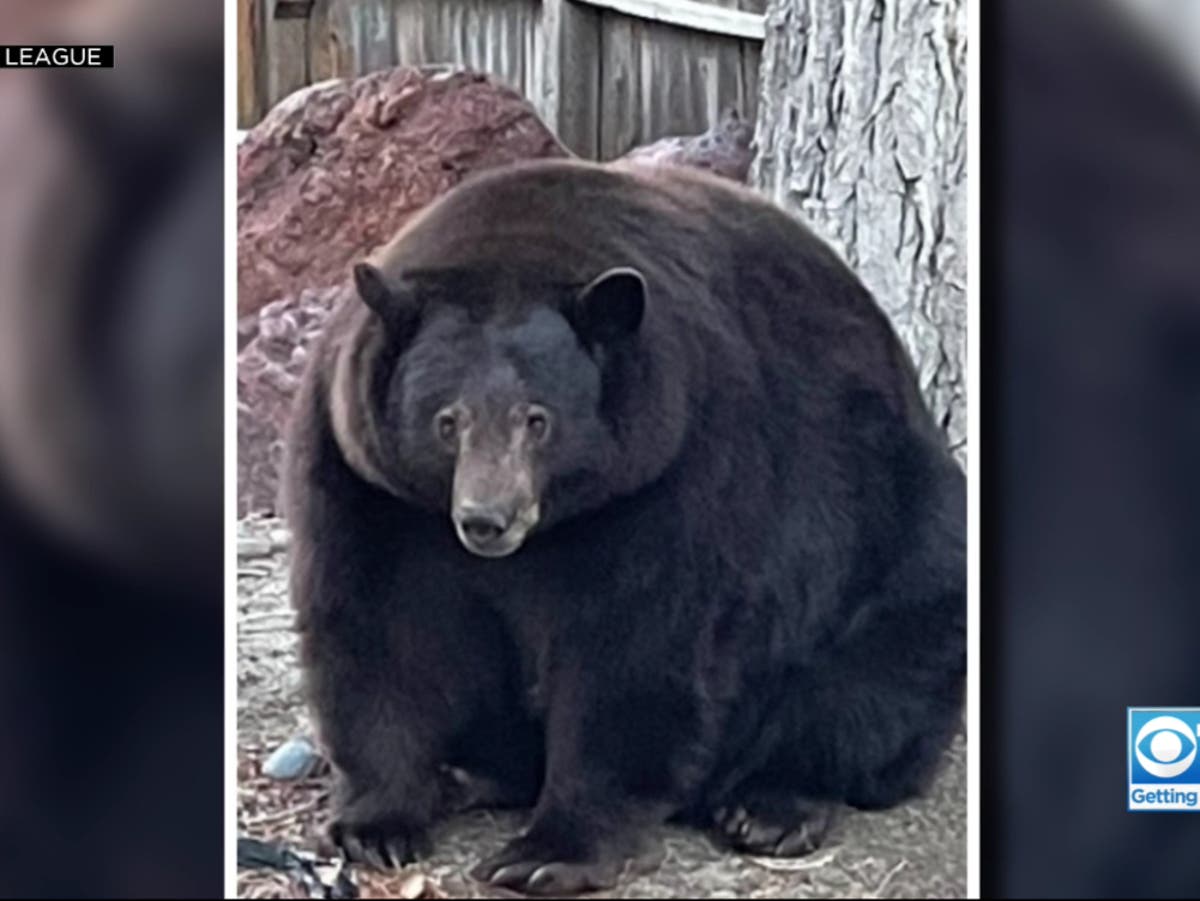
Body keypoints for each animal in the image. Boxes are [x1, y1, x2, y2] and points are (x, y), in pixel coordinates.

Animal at [285, 158, 969, 897]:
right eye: (448, 420)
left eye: (538, 418)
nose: (486, 520)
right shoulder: (367, 479)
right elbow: (380, 624)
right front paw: (377, 824)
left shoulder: (675, 467)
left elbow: (635, 646)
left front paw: (547, 852)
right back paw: (468, 773)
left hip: (896, 540)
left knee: (872, 679)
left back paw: (771, 806)